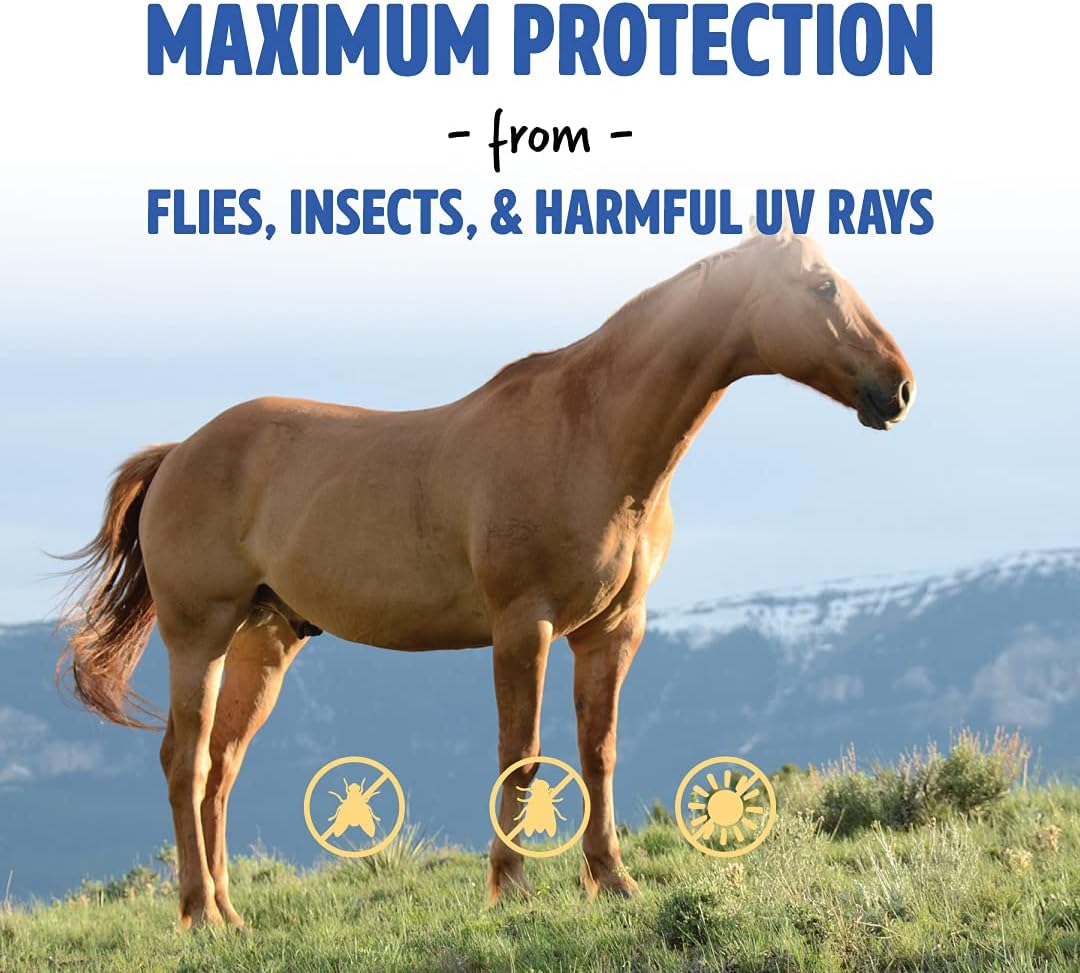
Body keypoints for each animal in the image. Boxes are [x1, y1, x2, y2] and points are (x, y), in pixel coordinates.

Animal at [58, 228, 914, 928]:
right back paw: (199, 913)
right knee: (187, 760)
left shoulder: (612, 631)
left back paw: (231, 914)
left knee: (223, 767)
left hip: (265, 640)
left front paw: (612, 879)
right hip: (199, 634)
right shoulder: (522, 626)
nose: (899, 386)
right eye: (823, 287)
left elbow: (599, 751)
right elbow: (522, 752)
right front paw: (511, 887)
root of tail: (179, 450)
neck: (591, 435)